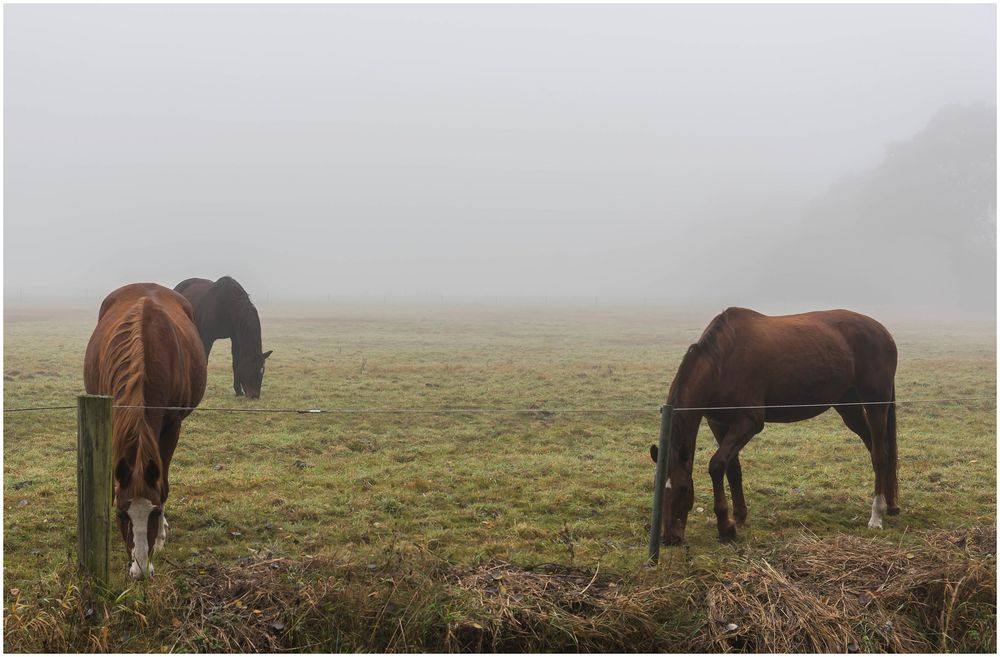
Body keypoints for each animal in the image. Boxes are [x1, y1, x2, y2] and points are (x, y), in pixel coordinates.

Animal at [84, 284, 207, 580]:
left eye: (155, 513)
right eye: (121, 515)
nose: (140, 572)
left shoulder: (172, 426)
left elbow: (163, 484)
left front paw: (160, 537)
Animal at [648, 308, 900, 544]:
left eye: (683, 488)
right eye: (658, 488)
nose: (668, 538)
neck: (722, 360)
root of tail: (883, 333)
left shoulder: (748, 422)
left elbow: (717, 465)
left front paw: (725, 527)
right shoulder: (718, 423)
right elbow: (733, 468)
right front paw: (738, 517)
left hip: (876, 404)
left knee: (880, 455)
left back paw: (876, 515)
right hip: (848, 406)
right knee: (876, 449)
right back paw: (890, 505)